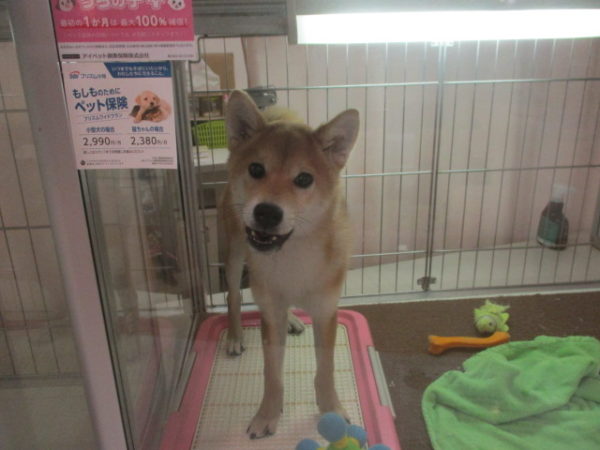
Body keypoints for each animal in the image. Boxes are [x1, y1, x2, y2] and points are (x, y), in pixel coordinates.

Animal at [221, 90, 359, 439]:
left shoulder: (326, 312)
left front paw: (332, 408)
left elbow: (325, 369)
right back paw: (235, 336)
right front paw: (267, 415)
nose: (267, 212)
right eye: (256, 169)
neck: (293, 256)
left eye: (304, 178)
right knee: (234, 296)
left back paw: (294, 320)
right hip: (234, 254)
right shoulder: (269, 311)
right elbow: (272, 375)